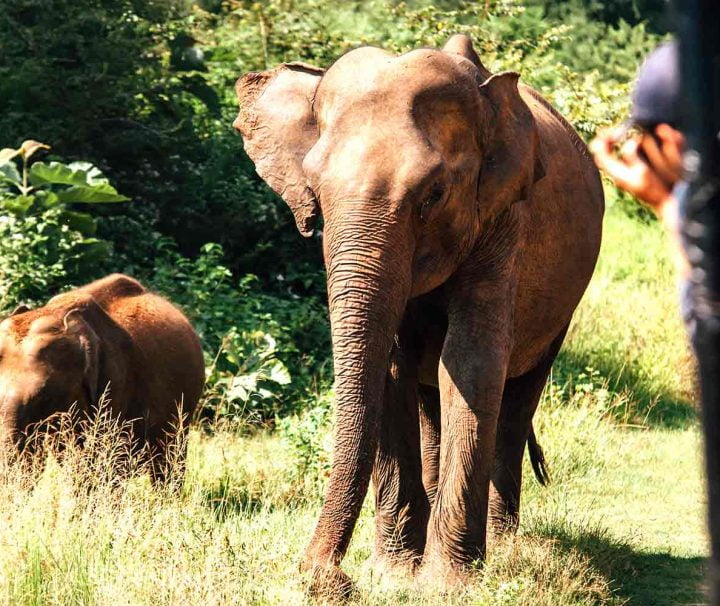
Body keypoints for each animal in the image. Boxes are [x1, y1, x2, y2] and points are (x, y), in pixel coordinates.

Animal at [235, 34, 600, 592]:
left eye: (433, 195)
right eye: (314, 193)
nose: (324, 576)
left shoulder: (504, 220)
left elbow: (470, 363)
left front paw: (447, 583)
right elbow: (391, 366)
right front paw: (393, 574)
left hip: (563, 307)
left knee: (518, 398)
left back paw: (506, 545)